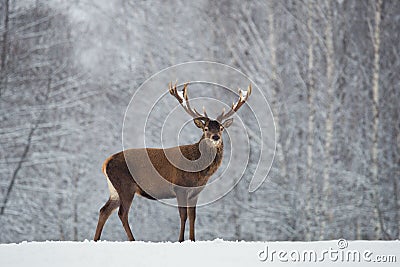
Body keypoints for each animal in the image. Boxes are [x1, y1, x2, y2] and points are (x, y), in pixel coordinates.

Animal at [93, 81, 250, 243]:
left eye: (221, 128)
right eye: (206, 128)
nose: (215, 137)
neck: (199, 170)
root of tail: (105, 164)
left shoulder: (195, 192)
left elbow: (193, 216)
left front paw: (192, 240)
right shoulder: (179, 187)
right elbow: (183, 215)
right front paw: (180, 240)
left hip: (115, 189)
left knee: (104, 210)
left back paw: (96, 239)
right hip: (125, 186)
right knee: (122, 213)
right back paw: (132, 240)